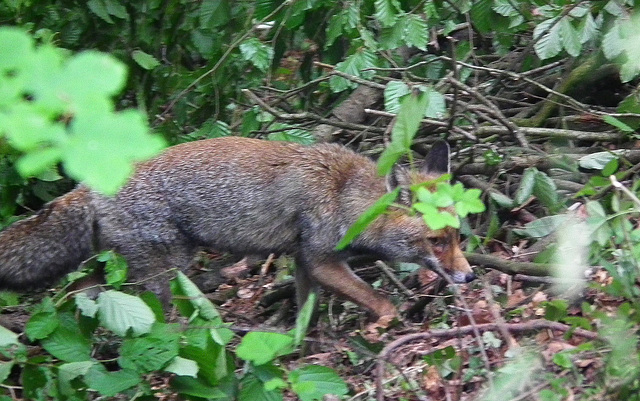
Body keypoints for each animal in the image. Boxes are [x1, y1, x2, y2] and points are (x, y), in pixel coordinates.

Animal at [0, 137, 476, 318]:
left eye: (459, 237)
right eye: (435, 241)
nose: (470, 276)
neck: (347, 197)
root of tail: (89, 184)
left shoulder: (304, 263)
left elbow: (306, 315)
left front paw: (300, 350)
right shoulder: (321, 260)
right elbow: (380, 300)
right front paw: (388, 324)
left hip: (133, 264)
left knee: (82, 293)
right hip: (165, 269)